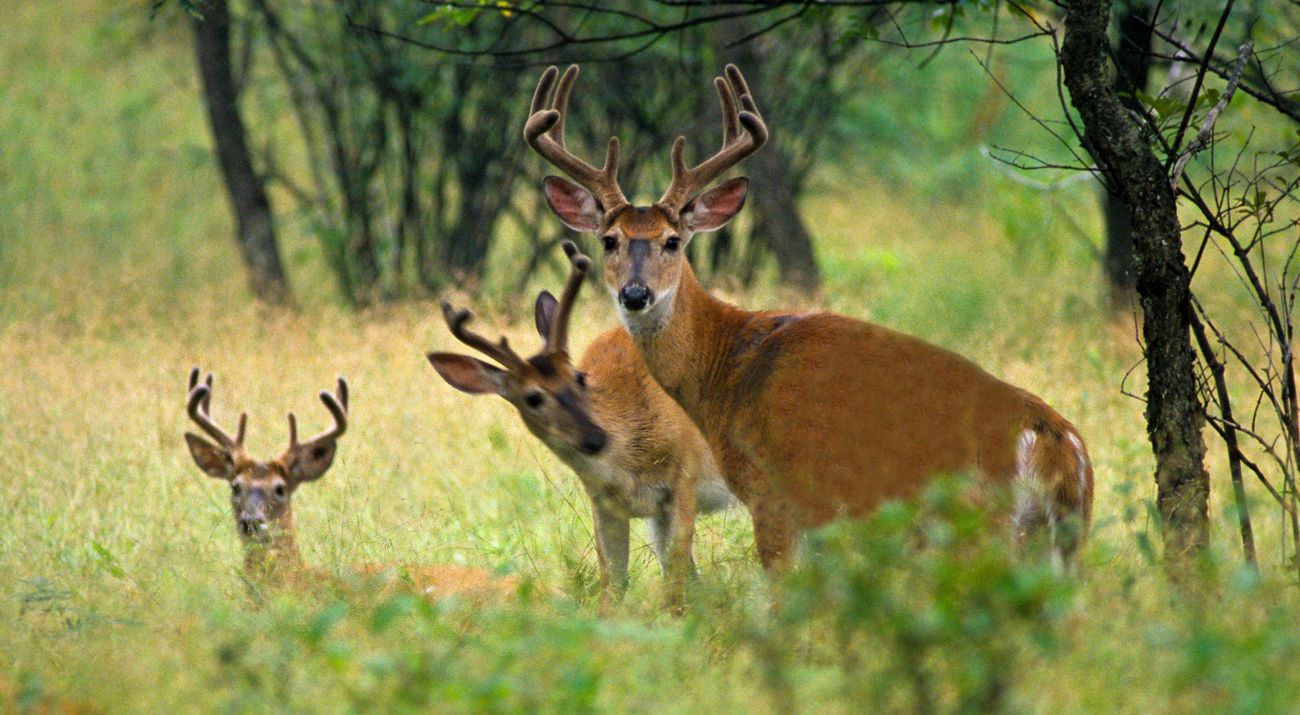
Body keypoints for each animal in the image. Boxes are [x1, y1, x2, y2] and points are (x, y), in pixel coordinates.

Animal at [428, 241, 735, 610]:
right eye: (532, 398)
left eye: (578, 377)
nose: (595, 438)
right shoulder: (607, 504)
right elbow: (613, 588)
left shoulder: (683, 480)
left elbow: (674, 590)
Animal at [524, 64, 1094, 571]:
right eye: (609, 240)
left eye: (672, 241)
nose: (636, 294)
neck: (726, 367)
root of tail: (1058, 444)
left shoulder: (773, 492)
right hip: (1059, 540)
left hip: (974, 524)